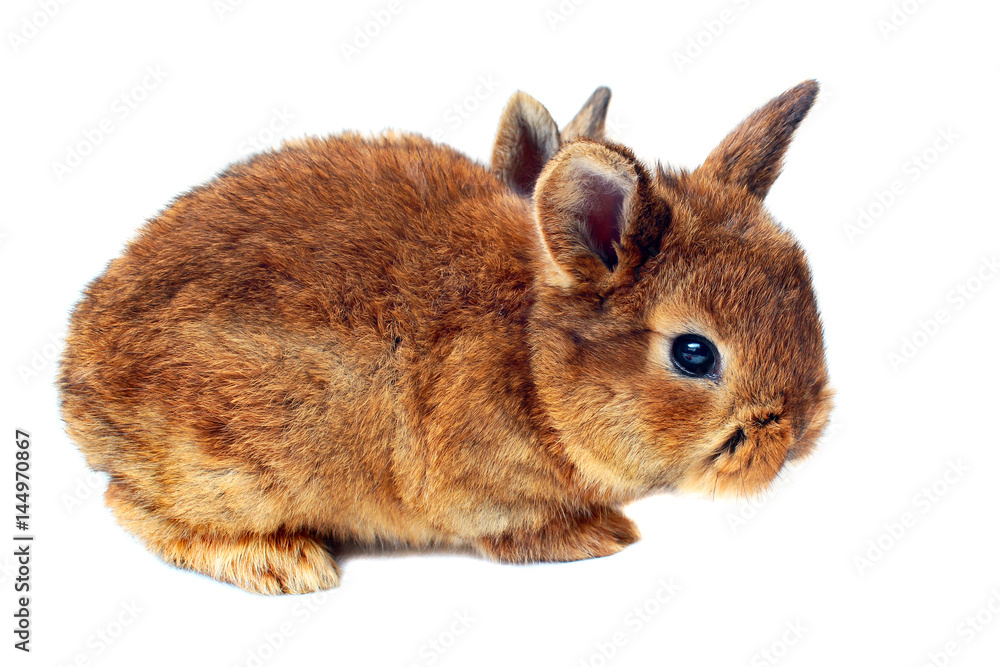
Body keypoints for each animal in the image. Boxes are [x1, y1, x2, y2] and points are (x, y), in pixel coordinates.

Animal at [59, 80, 833, 595]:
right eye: (694, 353)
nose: (798, 431)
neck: (534, 359)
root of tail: (76, 382)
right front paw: (600, 536)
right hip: (234, 462)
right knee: (138, 509)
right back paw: (284, 563)